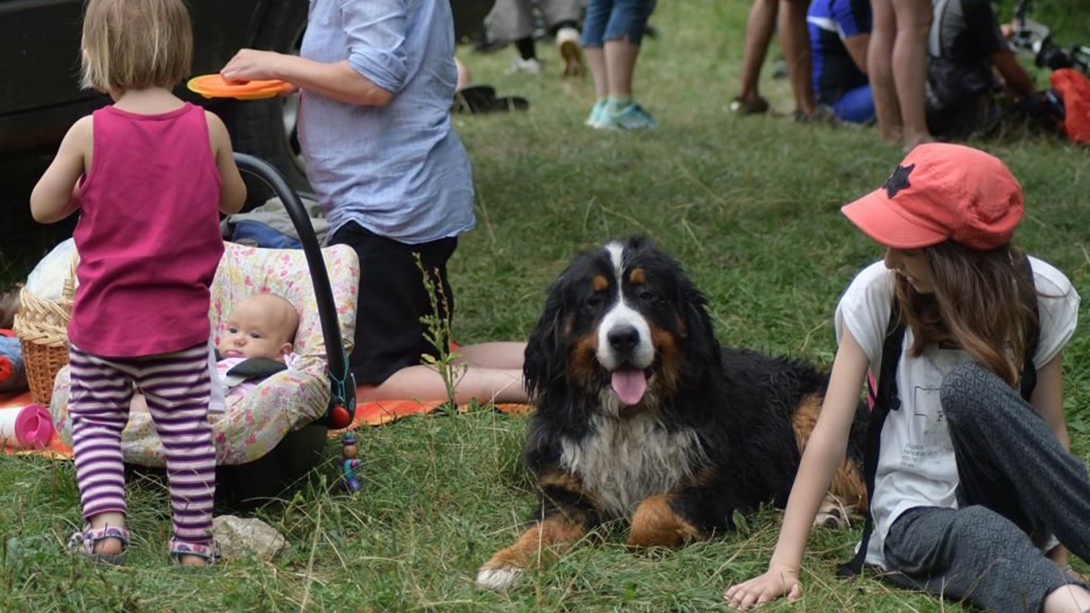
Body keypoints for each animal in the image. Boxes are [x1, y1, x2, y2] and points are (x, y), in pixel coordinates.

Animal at [477, 234, 867, 589]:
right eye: (593, 301)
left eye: (648, 296)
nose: (623, 337)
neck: (628, 417)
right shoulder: (565, 490)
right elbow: (544, 529)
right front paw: (508, 563)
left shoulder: (727, 486)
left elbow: (650, 512)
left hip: (813, 412)